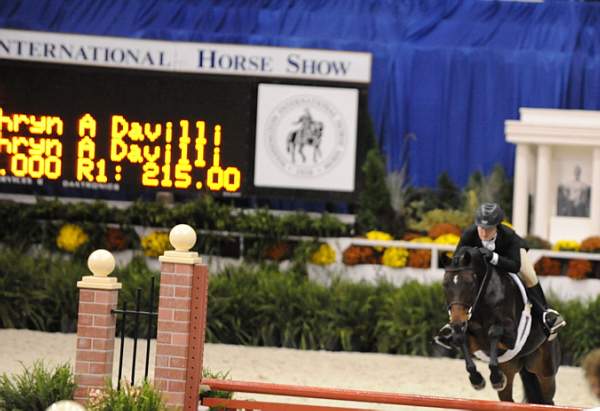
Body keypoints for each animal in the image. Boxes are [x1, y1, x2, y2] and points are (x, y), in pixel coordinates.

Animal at [440, 246, 564, 404]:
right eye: (445, 284)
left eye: (470, 283)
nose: (457, 321)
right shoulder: (473, 340)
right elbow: (460, 338)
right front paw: (477, 380)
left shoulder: (512, 337)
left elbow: (494, 332)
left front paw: (496, 379)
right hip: (510, 368)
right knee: (508, 399)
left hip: (545, 372)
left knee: (547, 400)